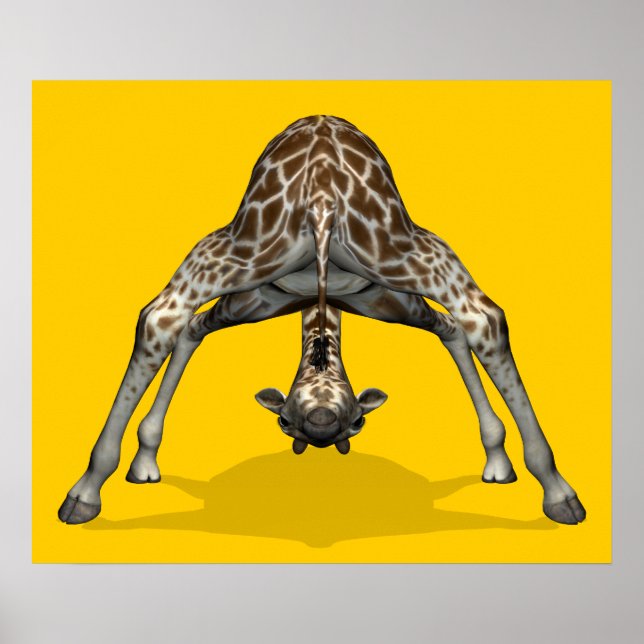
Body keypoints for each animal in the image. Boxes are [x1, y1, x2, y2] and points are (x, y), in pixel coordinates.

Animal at [58, 115, 586, 526]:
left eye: (356, 425)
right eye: (285, 424)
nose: (321, 422)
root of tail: (323, 192)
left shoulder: (373, 301)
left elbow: (453, 332)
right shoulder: (269, 302)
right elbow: (190, 331)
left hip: (285, 249)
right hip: (364, 251)